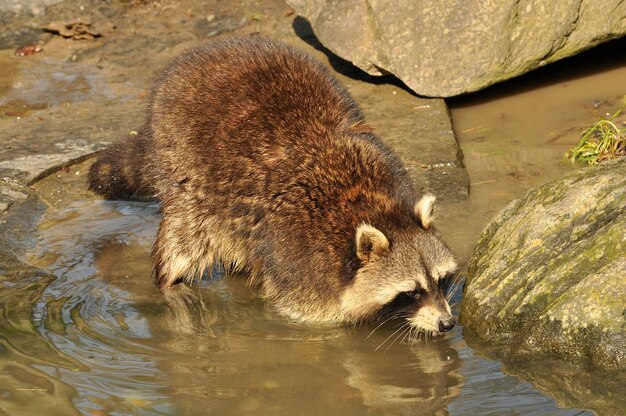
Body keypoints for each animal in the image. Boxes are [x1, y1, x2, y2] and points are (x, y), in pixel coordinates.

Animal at [88, 35, 456, 334]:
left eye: (442, 280)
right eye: (411, 292)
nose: (448, 323)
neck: (370, 204)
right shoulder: (298, 253)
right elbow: (311, 314)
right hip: (183, 170)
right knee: (184, 241)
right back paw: (170, 284)